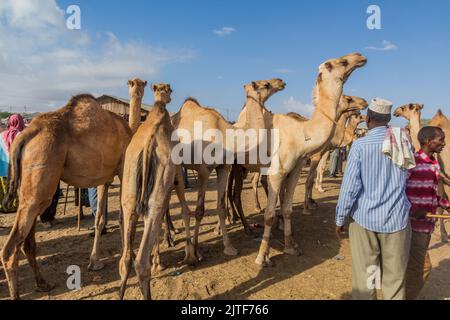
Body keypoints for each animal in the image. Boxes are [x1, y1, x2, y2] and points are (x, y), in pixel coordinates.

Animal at [253, 53, 366, 268]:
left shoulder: (295, 168)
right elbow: (270, 214)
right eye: (340, 62)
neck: (301, 134)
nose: (360, 56)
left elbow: (288, 208)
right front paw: (262, 257)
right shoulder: (280, 171)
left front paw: (291, 246)